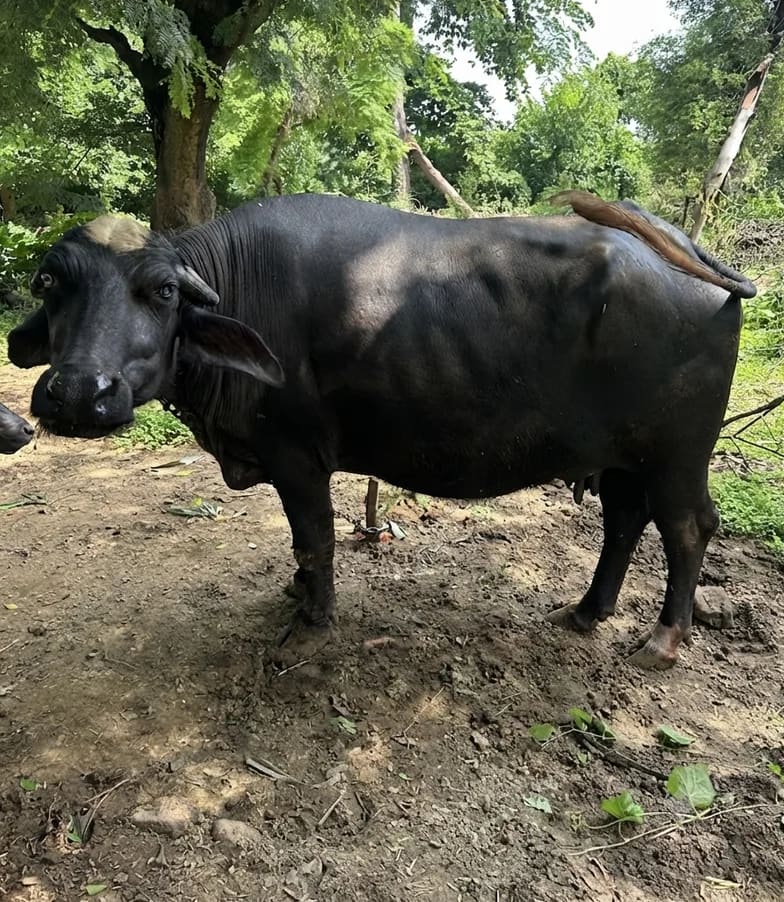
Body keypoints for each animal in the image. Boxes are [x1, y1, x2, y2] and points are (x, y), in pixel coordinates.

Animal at [7, 191, 756, 668]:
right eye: (50, 283)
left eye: (163, 291)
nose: (79, 393)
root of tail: (683, 253)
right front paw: (298, 593)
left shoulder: (297, 456)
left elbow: (313, 539)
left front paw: (312, 616)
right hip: (624, 455)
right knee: (625, 519)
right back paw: (586, 611)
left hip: (678, 455)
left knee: (688, 527)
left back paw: (661, 642)